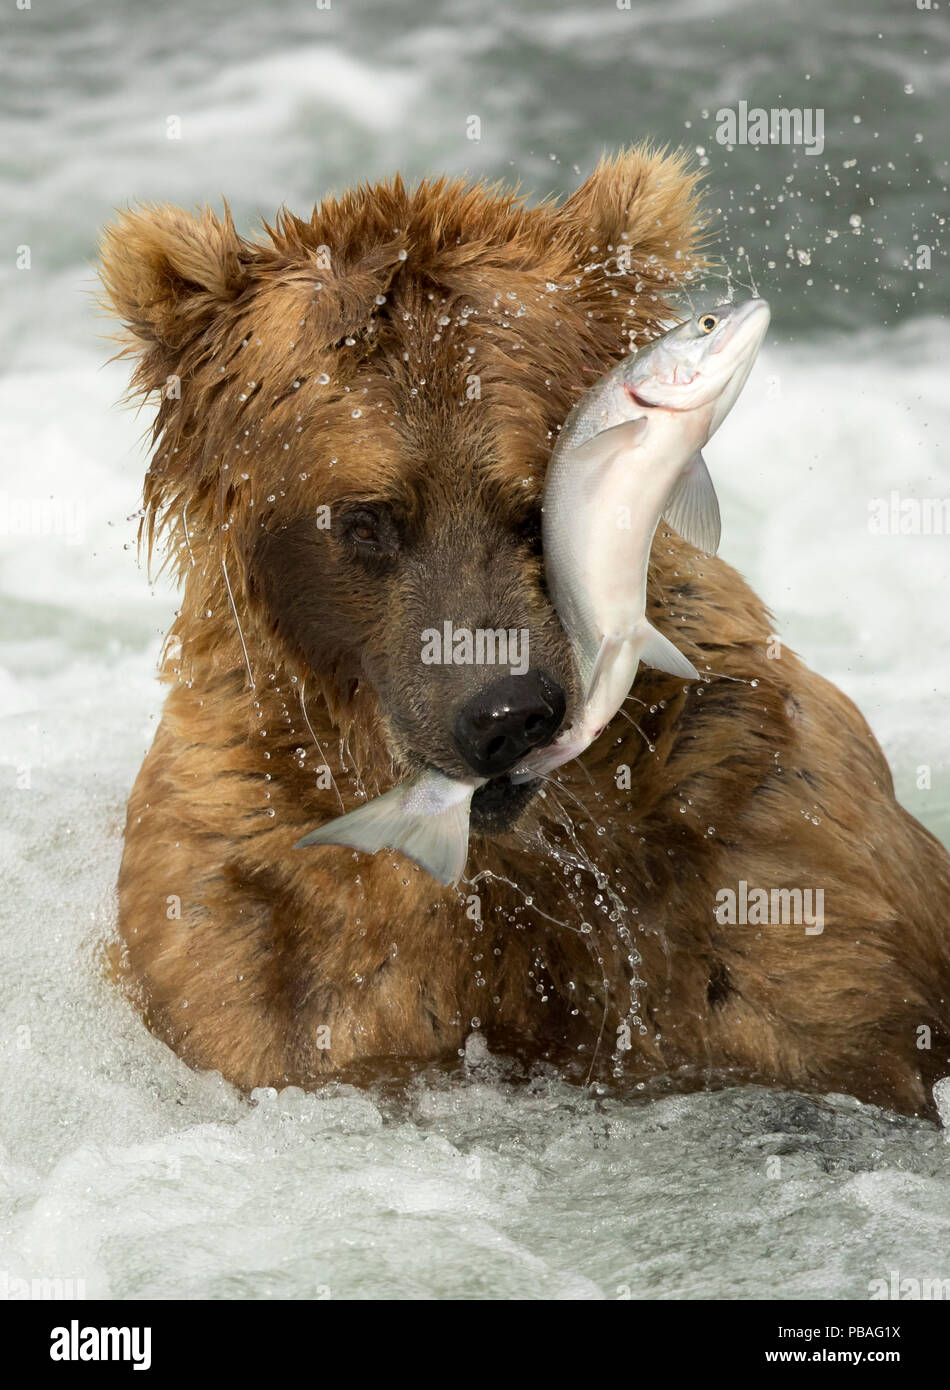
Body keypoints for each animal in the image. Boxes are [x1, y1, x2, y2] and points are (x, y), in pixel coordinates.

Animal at [96, 143, 950, 1117]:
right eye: (366, 520)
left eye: (531, 503)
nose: (504, 713)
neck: (514, 865)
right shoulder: (258, 923)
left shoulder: (767, 853)